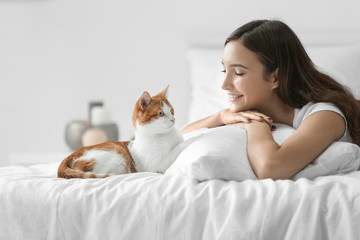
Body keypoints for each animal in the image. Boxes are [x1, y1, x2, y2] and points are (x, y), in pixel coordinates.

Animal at [57, 86, 186, 178]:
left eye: (172, 111)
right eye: (161, 113)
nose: (173, 119)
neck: (165, 135)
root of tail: (70, 156)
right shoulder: (156, 164)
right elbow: (177, 149)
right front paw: (190, 141)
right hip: (116, 158)